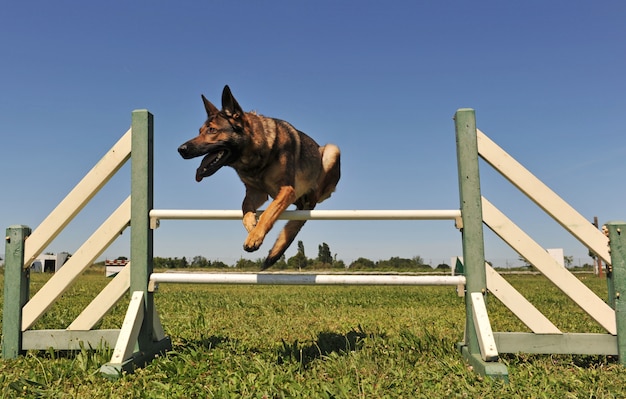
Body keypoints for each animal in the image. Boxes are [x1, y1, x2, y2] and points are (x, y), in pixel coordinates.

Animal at [178, 86, 338, 270]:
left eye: (212, 130)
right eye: (200, 131)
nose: (181, 149)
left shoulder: (287, 190)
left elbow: (269, 212)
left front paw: (255, 237)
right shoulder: (256, 193)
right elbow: (245, 207)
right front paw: (251, 226)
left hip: (331, 151)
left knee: (315, 194)